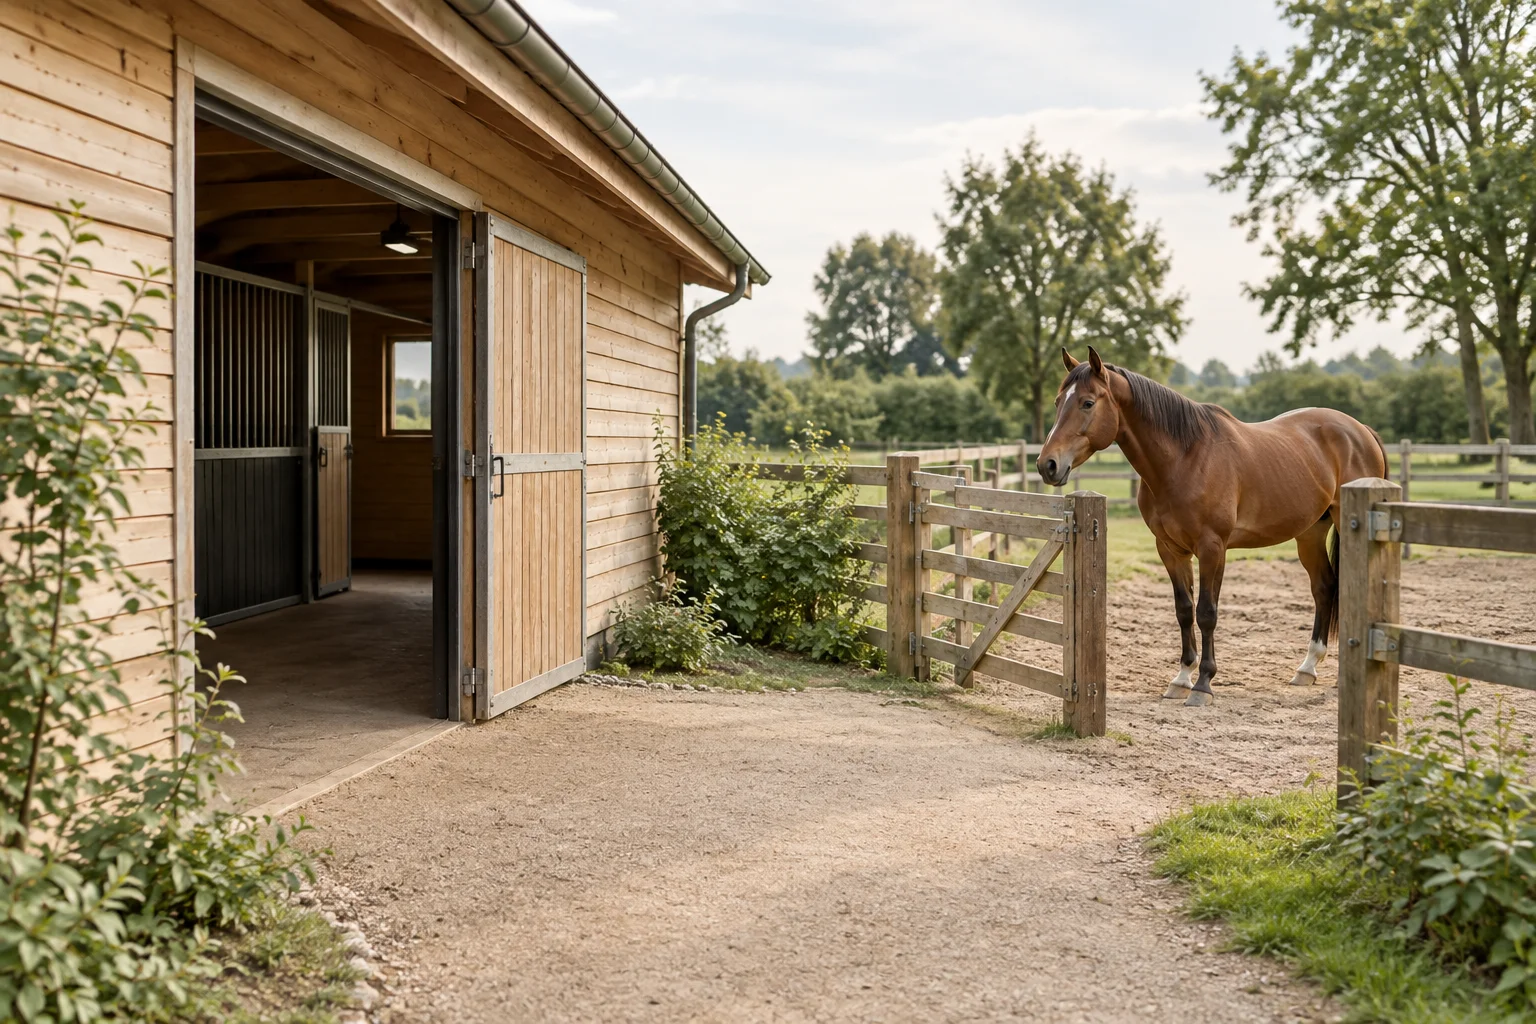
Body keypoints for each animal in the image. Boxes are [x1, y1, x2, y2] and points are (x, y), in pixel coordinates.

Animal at [1038, 347, 1388, 707]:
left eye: (1087, 403)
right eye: (1058, 401)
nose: (1047, 464)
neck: (1185, 459)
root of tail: (1361, 430)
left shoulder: (1212, 548)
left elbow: (1207, 611)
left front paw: (1203, 684)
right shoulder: (1170, 549)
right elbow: (1183, 610)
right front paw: (1181, 678)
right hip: (1310, 533)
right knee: (1323, 587)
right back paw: (1307, 668)